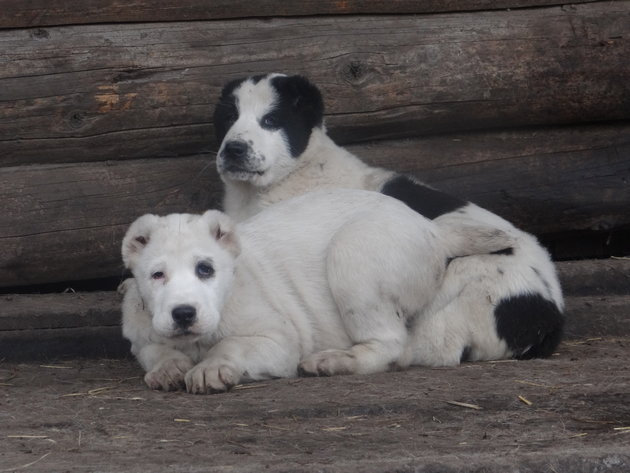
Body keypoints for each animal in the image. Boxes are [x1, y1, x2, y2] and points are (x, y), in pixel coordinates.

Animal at [122, 188, 520, 390]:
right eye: (157, 275)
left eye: (205, 269)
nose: (183, 313)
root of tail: (433, 229)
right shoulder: (142, 331)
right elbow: (156, 351)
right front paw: (168, 369)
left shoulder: (277, 339)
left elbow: (232, 344)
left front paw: (211, 369)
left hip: (356, 250)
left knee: (391, 344)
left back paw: (334, 361)